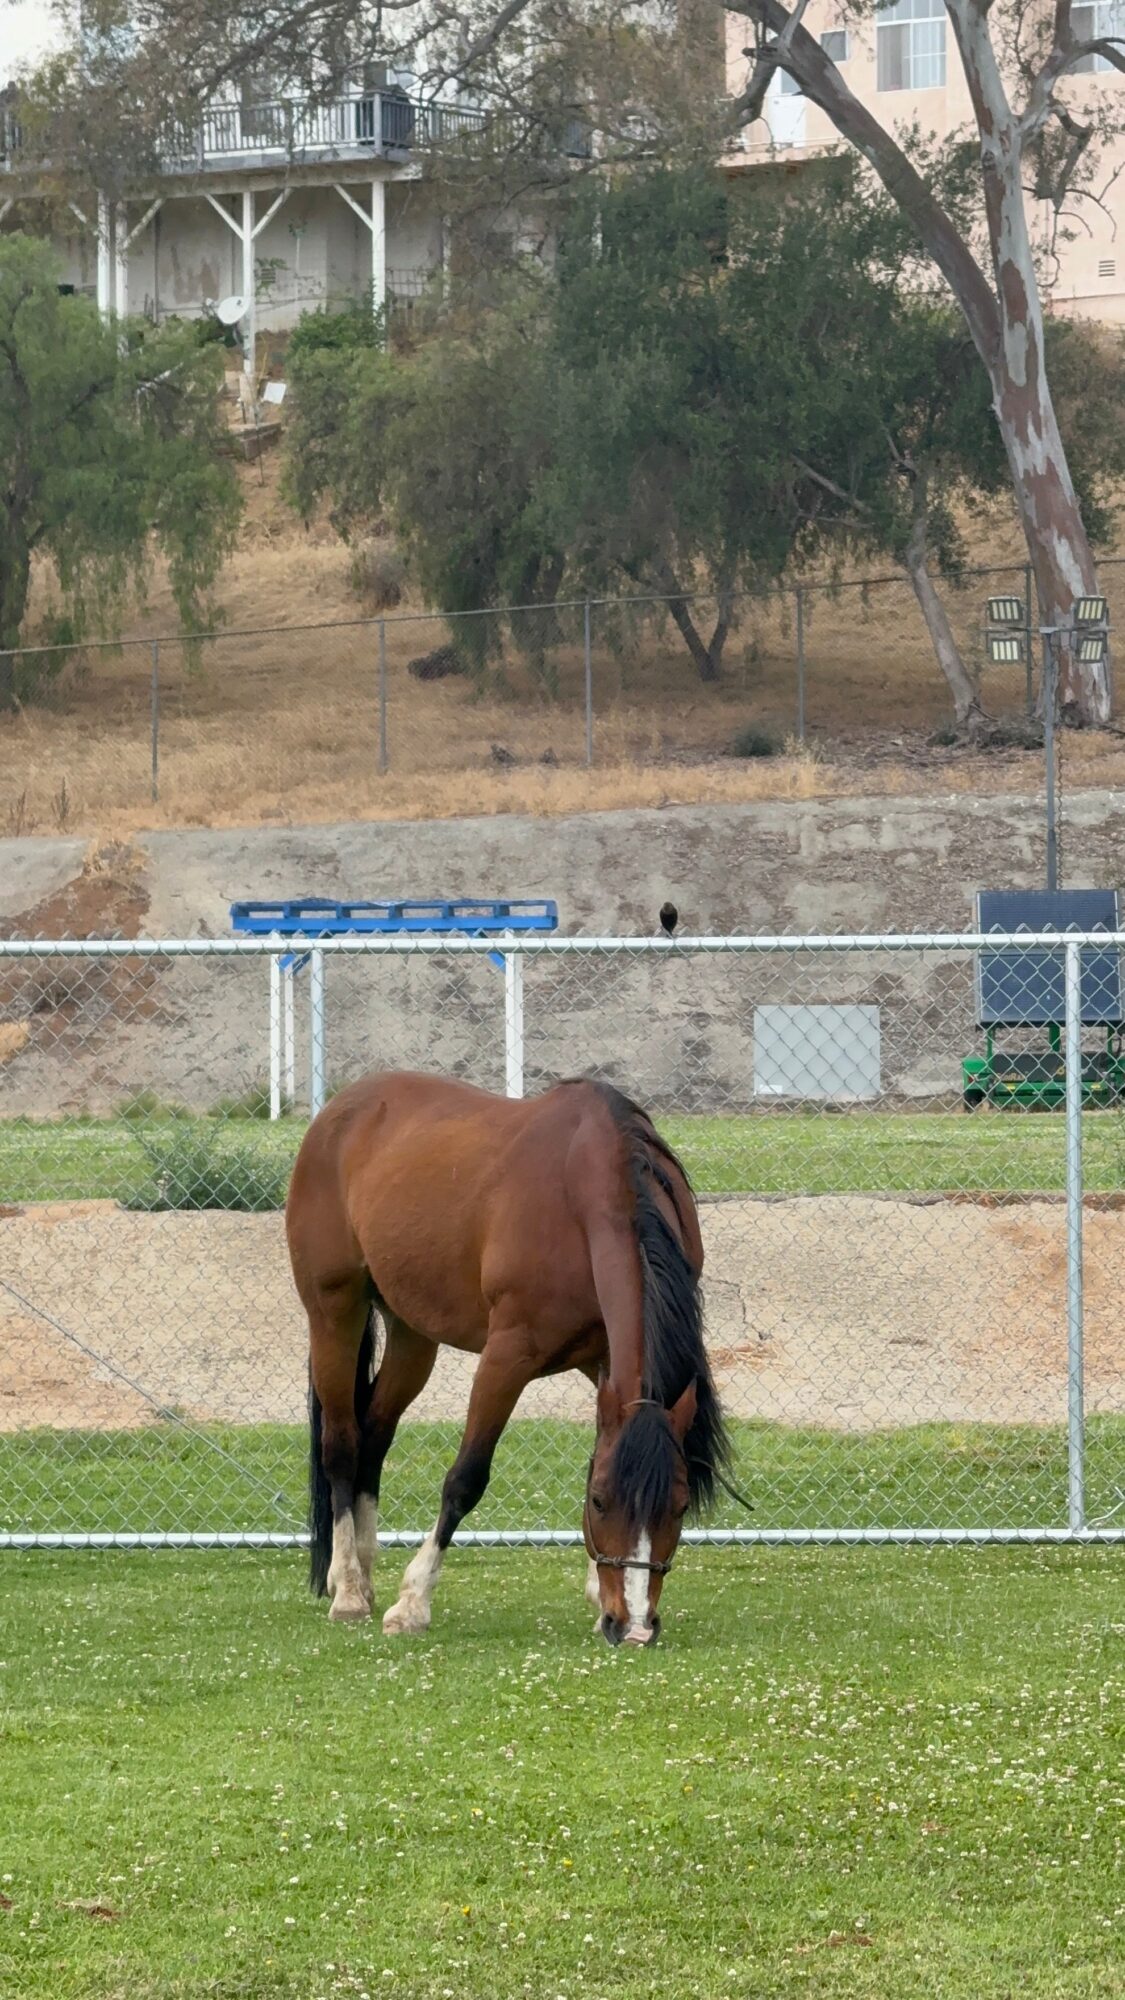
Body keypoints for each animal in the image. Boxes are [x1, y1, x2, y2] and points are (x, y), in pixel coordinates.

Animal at [285, 1070, 728, 1645]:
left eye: (678, 1506)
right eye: (602, 1502)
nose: (632, 1627)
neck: (584, 1197)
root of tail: (339, 1112)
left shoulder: (604, 1364)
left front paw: (596, 1596)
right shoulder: (507, 1356)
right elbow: (465, 1478)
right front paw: (413, 1602)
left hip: (413, 1335)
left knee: (374, 1434)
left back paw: (363, 1568)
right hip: (335, 1312)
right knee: (341, 1443)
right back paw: (349, 1589)